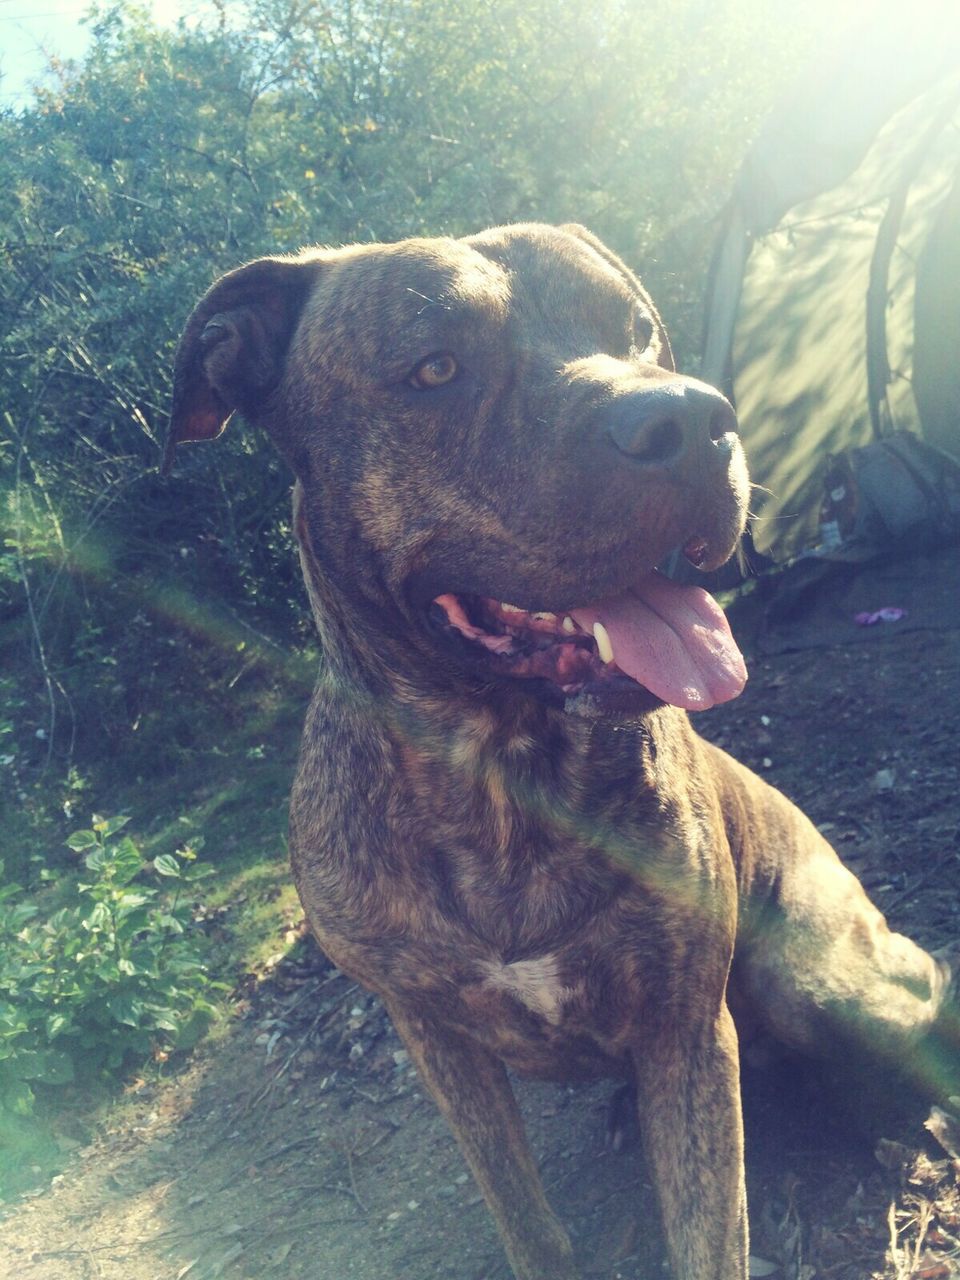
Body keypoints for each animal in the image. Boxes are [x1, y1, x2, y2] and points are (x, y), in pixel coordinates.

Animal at [167, 225, 960, 1274]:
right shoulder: (439, 1040)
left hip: (816, 979)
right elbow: (525, 1217)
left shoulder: (687, 1033)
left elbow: (710, 1233)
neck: (504, 776)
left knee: (925, 1003)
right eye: (435, 368)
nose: (693, 417)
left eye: (637, 334)